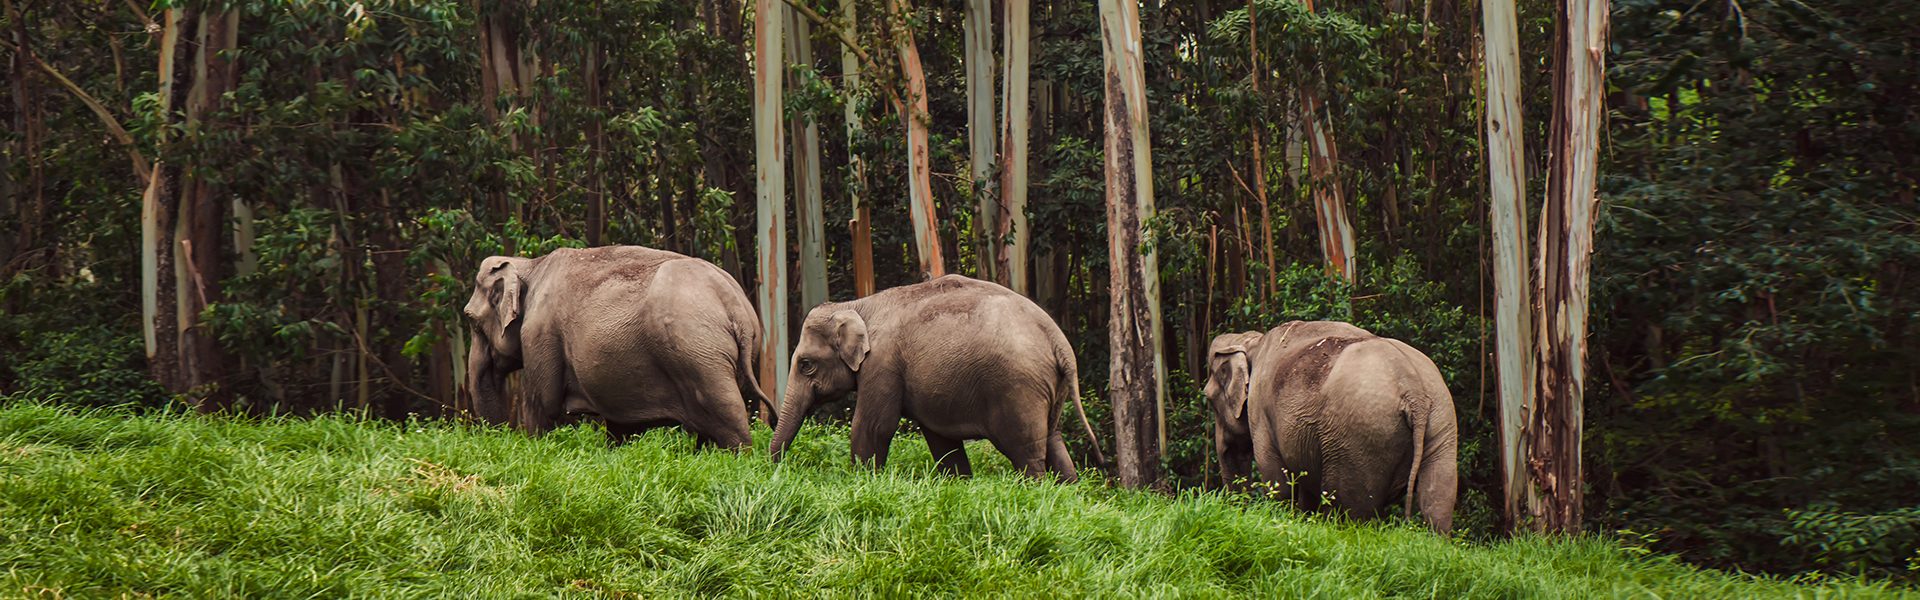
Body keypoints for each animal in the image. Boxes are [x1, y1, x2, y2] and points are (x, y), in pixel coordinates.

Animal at [460, 242, 768, 446]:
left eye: (471, 320)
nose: (497, 438)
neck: (531, 264)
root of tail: (736, 307)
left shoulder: (539, 334)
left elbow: (542, 406)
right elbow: (621, 426)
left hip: (699, 355)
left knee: (727, 416)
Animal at [760, 275, 1098, 480]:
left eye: (806, 365)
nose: (776, 470)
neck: (858, 305)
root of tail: (1058, 340)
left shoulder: (882, 364)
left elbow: (874, 426)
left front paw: (861, 480)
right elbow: (941, 439)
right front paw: (960, 483)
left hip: (1018, 389)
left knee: (1026, 452)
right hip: (1049, 387)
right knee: (1054, 441)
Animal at [1205, 321, 1459, 530]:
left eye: (1207, 398)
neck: (1253, 342)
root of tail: (1413, 390)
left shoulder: (1260, 413)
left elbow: (1278, 480)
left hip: (1358, 438)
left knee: (1350, 509)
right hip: (1442, 421)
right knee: (1438, 499)